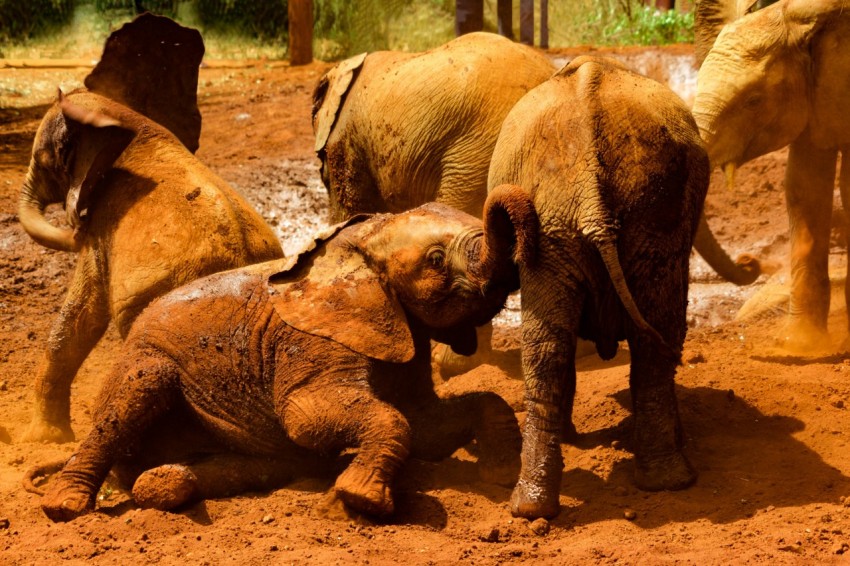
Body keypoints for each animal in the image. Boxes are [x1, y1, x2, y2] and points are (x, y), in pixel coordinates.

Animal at [18, 14, 284, 444]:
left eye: (44, 162)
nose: (74, 227)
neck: (121, 118)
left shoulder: (102, 224)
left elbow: (81, 313)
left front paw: (42, 440)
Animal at [28, 193, 538, 522]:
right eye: (435, 260)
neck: (354, 245)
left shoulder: (398, 334)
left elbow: (427, 421)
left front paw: (500, 478)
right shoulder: (311, 343)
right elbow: (309, 418)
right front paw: (361, 502)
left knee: (250, 467)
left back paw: (164, 481)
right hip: (141, 364)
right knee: (140, 389)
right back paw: (64, 506)